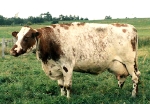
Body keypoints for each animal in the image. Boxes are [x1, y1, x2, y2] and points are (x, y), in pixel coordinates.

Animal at [10, 22, 141, 98]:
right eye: (17, 37)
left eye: (27, 37)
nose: (13, 51)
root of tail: (131, 27)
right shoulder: (57, 67)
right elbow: (61, 85)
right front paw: (62, 97)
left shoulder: (67, 66)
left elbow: (67, 85)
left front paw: (68, 98)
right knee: (122, 78)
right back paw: (119, 92)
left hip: (130, 62)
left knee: (135, 78)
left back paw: (133, 95)